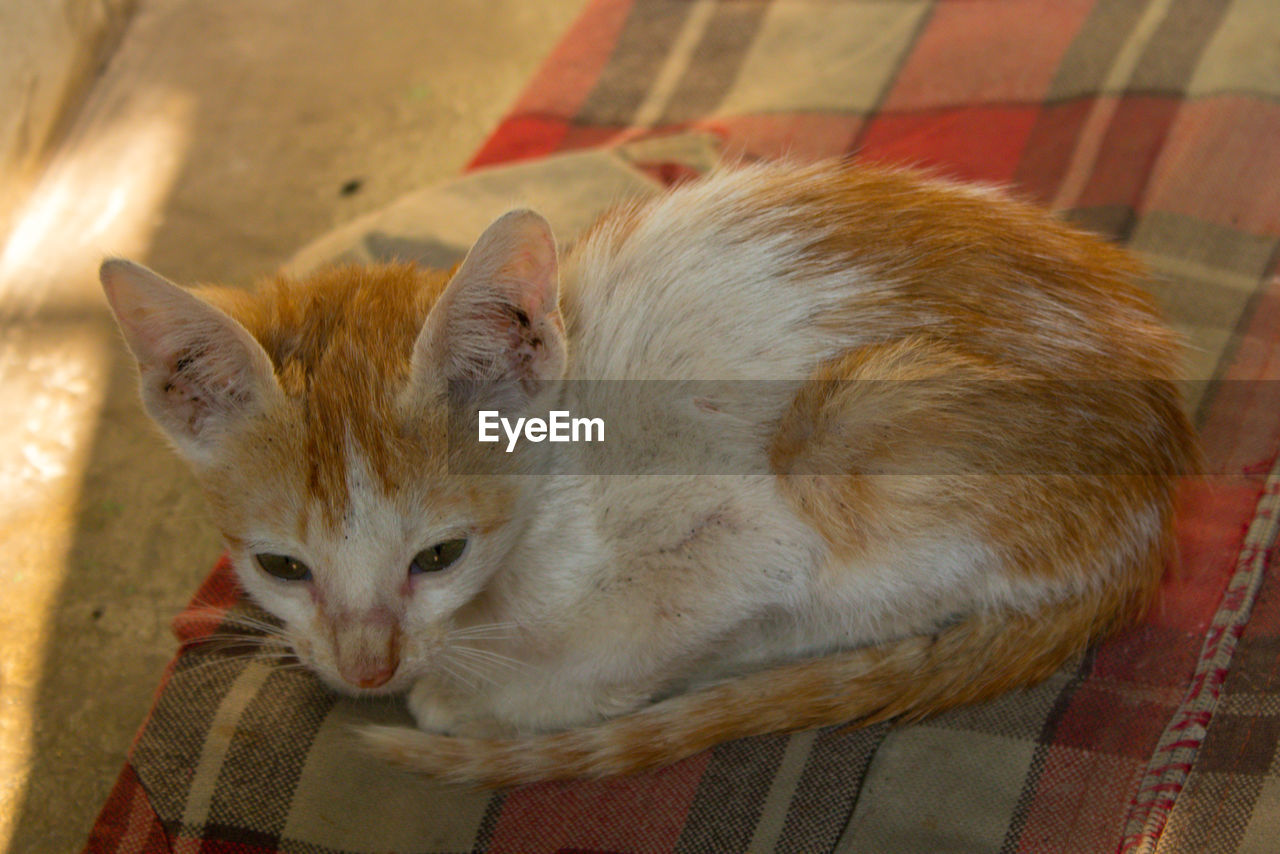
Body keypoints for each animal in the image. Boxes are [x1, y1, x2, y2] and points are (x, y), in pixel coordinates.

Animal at [102, 160, 1198, 788]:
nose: (367, 670)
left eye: (439, 555)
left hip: (855, 429)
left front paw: (482, 694)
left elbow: (630, 638)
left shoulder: (744, 538)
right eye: (282, 567)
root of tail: (1155, 509)